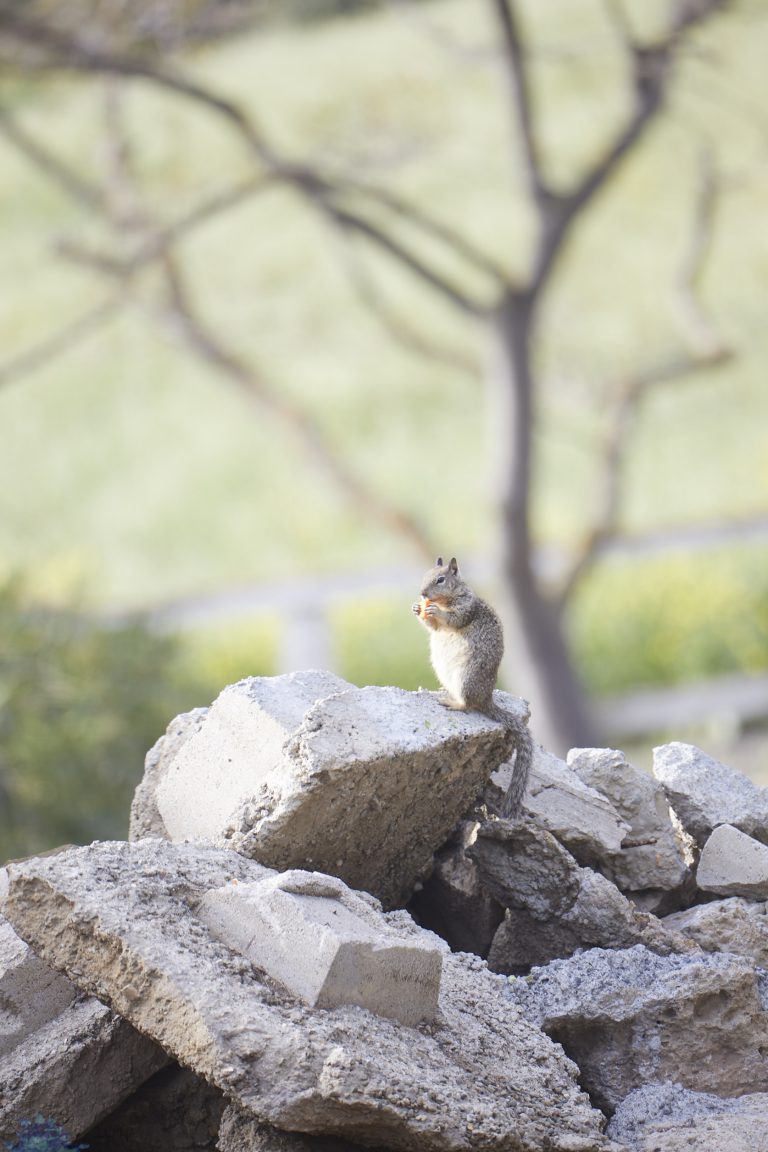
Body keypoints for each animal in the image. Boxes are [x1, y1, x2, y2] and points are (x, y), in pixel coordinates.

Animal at [412, 556, 533, 818]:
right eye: (424, 575)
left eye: (440, 579)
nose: (422, 593)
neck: (448, 597)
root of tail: (486, 699)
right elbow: (433, 627)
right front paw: (418, 609)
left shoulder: (466, 607)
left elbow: (454, 619)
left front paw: (435, 611)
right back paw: (443, 692)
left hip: (465, 677)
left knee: (468, 704)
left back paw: (453, 702)